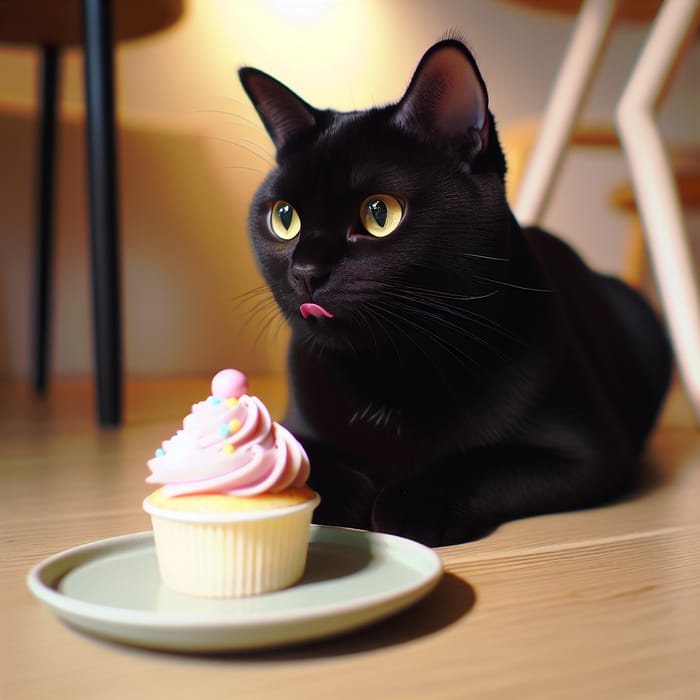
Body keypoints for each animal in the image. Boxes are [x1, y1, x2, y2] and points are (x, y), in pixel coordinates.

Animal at [241, 39, 672, 548]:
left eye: (379, 214)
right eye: (284, 218)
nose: (306, 272)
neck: (392, 375)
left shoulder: (587, 452)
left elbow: (481, 462)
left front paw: (412, 502)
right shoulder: (294, 424)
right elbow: (301, 457)